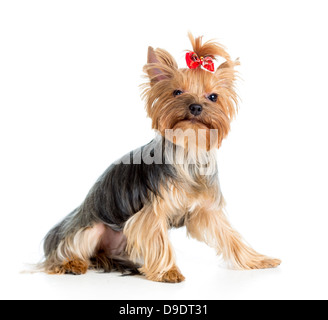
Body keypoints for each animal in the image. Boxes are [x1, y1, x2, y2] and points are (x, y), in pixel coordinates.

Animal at [38, 33, 280, 282]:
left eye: (213, 97)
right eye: (177, 92)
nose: (196, 106)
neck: (189, 149)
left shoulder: (207, 209)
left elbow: (230, 235)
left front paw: (258, 260)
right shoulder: (151, 211)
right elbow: (158, 239)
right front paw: (169, 271)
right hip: (89, 228)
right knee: (62, 252)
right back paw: (71, 263)